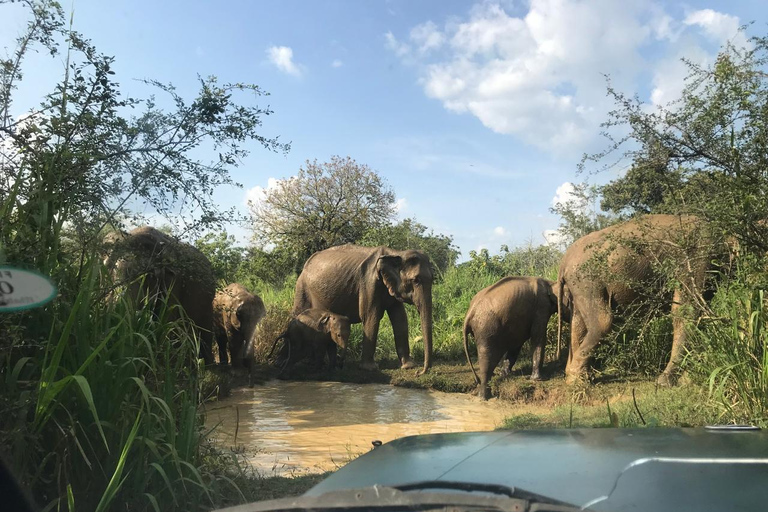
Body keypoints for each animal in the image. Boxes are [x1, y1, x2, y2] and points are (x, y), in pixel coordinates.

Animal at [292, 244, 432, 372]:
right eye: (416, 280)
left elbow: (400, 319)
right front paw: (370, 368)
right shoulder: (369, 283)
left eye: (432, 279)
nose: (420, 372)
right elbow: (370, 316)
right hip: (302, 287)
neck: (396, 253)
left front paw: (409, 366)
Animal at [556, 214, 728, 386]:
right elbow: (687, 310)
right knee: (603, 321)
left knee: (578, 323)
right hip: (587, 279)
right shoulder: (695, 254)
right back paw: (578, 379)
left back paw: (576, 378)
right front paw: (666, 382)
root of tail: (564, 260)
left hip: (579, 284)